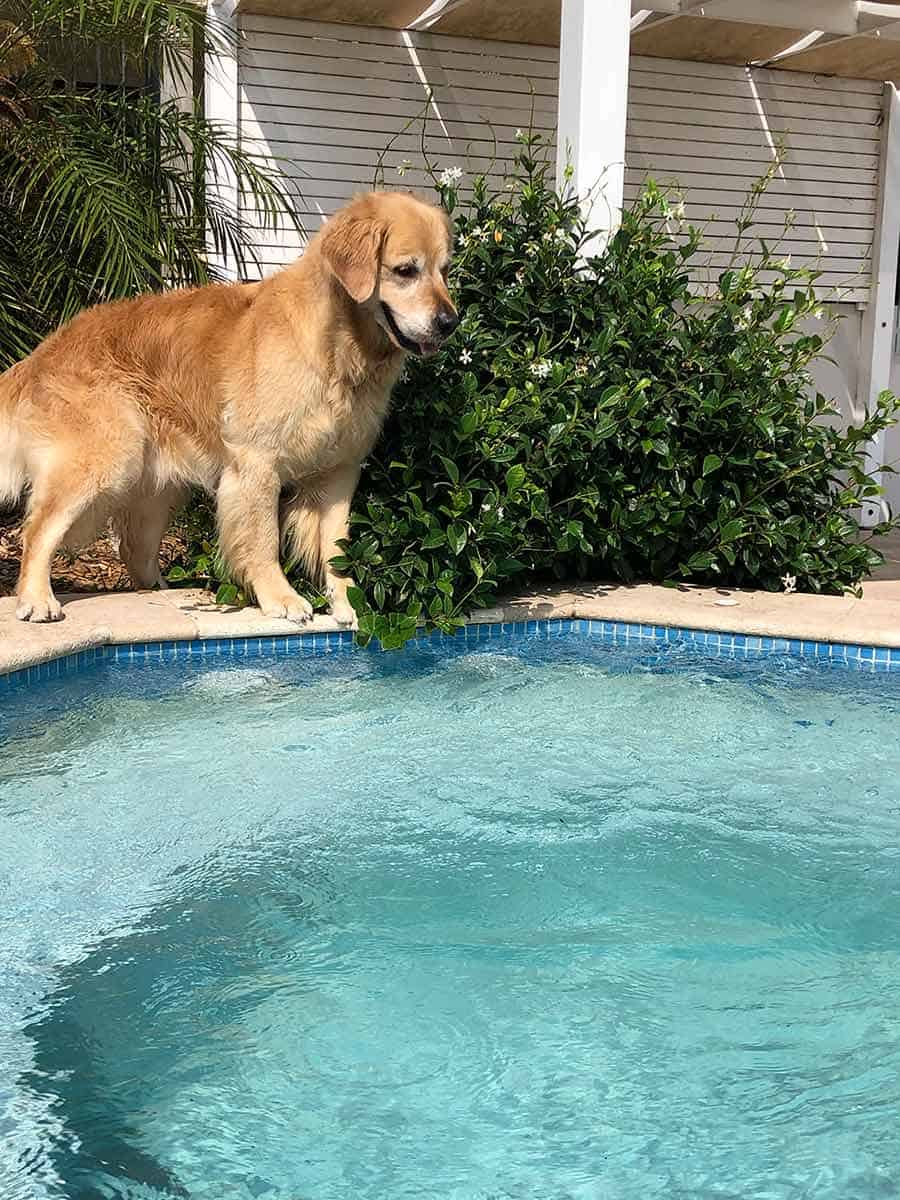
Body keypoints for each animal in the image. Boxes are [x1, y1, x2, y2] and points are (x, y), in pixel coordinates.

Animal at [0, 190, 458, 624]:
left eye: (445, 270)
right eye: (406, 270)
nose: (450, 322)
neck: (336, 347)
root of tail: (43, 351)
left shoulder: (339, 472)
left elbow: (337, 547)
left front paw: (347, 602)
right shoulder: (256, 464)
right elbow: (263, 540)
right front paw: (282, 598)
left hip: (157, 486)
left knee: (134, 548)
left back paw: (162, 594)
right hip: (106, 459)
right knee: (37, 529)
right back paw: (36, 599)